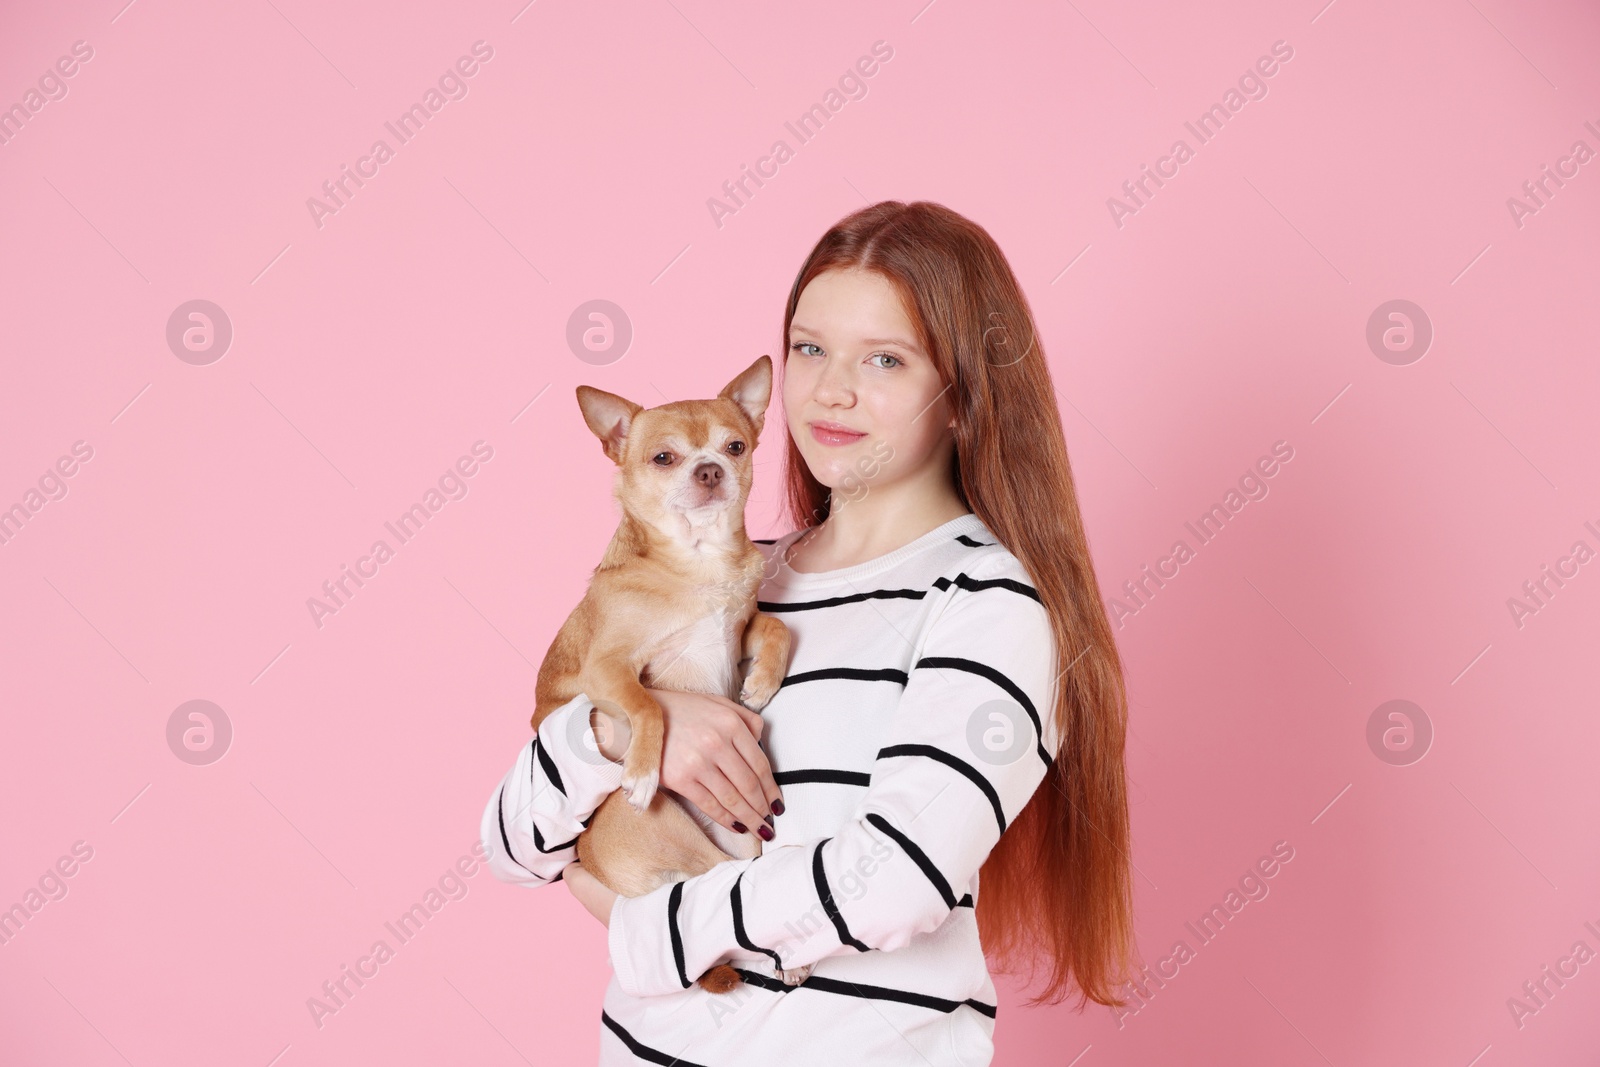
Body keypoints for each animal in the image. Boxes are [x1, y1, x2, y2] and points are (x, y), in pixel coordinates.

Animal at [534, 351, 812, 991]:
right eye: (663, 457)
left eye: (735, 446)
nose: (710, 469)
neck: (698, 561)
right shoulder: (606, 670)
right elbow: (645, 704)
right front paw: (640, 769)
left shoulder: (736, 629)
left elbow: (774, 627)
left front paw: (761, 683)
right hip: (667, 830)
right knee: (720, 894)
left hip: (741, 842)